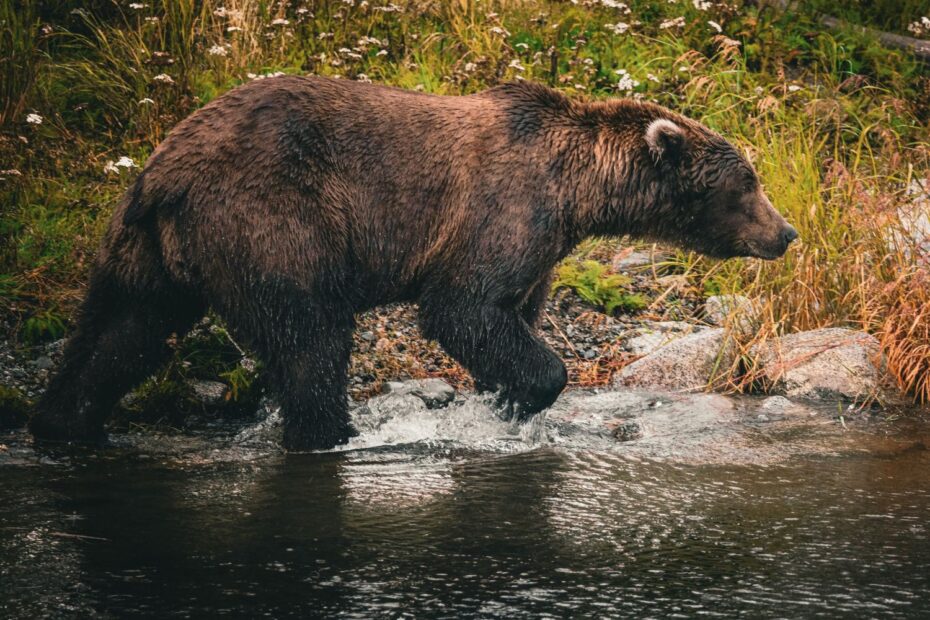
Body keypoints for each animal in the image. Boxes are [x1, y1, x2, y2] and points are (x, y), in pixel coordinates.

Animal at [29, 76, 797, 450]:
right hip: (271, 222)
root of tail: (165, 170)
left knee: (116, 334)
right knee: (309, 339)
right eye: (748, 182)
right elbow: (463, 307)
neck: (577, 191)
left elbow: (510, 315)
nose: (786, 231)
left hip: (143, 251)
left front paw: (502, 400)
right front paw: (527, 392)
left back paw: (64, 426)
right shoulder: (502, 210)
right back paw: (332, 436)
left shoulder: (542, 249)